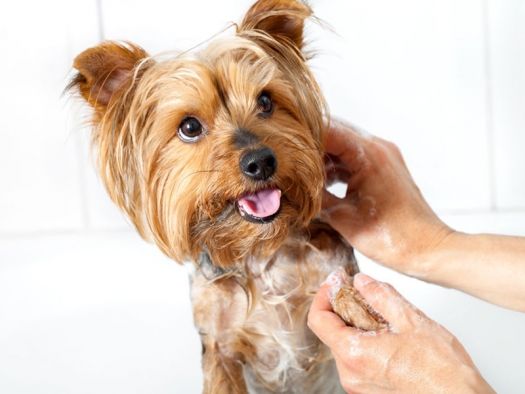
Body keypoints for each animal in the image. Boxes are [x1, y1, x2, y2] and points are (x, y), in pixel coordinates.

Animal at [67, 0, 382, 390]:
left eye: (265, 101)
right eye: (189, 127)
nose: (260, 161)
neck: (260, 256)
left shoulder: (334, 269)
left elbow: (353, 303)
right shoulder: (219, 343)